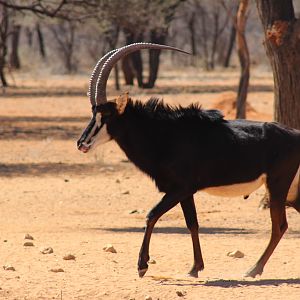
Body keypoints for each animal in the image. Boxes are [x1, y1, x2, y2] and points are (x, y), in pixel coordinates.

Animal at [78, 42, 300, 278]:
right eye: (93, 113)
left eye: (106, 116)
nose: (81, 143)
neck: (165, 134)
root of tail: (296, 135)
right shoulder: (185, 192)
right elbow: (192, 223)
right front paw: (195, 267)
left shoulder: (180, 188)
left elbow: (151, 215)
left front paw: (142, 265)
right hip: (290, 191)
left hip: (278, 186)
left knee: (279, 226)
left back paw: (253, 269)